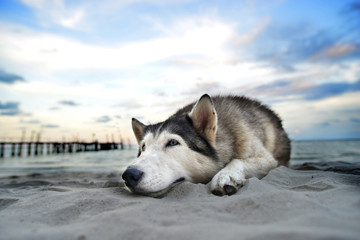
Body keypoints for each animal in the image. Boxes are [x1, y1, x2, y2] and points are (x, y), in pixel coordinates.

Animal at [122, 94, 292, 197]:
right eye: (143, 147)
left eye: (173, 142)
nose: (129, 175)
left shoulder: (268, 160)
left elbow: (237, 160)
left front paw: (225, 176)